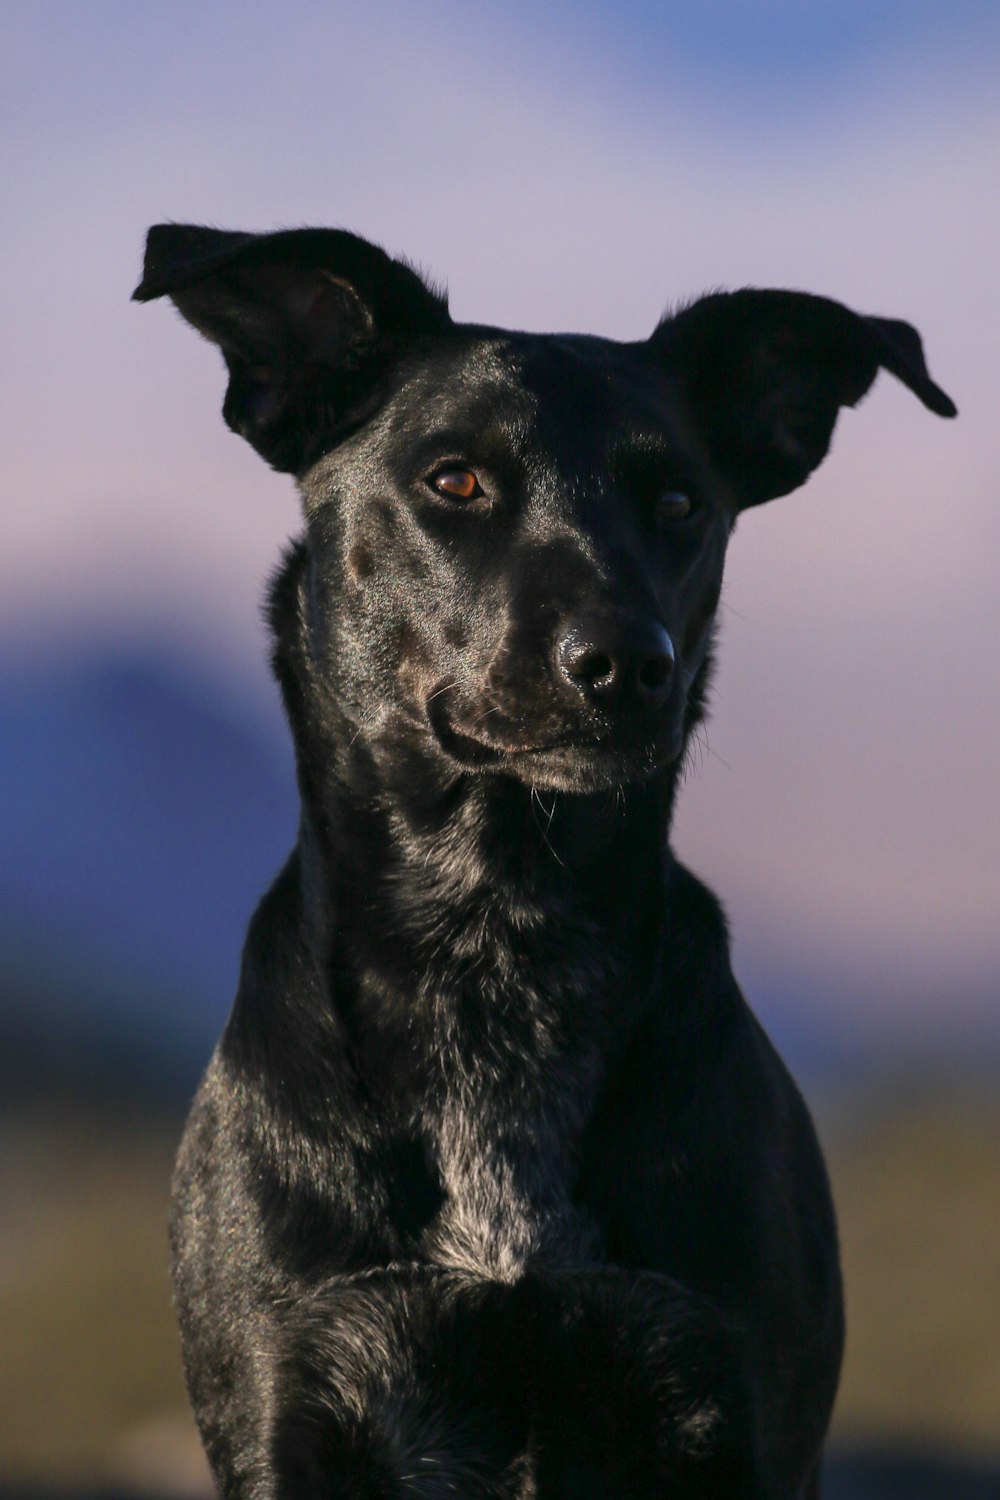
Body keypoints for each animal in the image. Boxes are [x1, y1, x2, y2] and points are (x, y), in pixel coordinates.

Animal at [132, 225, 953, 1500]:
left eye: (678, 501)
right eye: (455, 481)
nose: (626, 663)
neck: (498, 931)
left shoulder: (737, 1401)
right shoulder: (288, 1398)